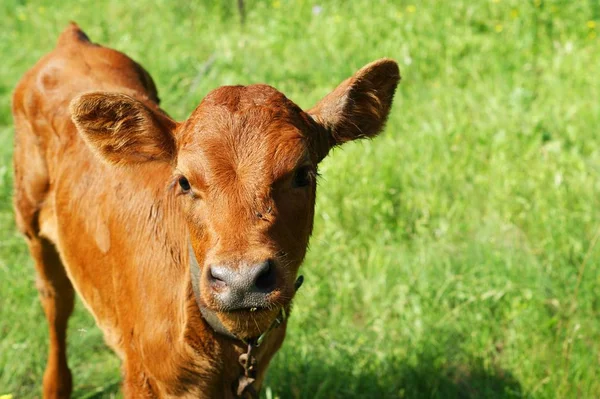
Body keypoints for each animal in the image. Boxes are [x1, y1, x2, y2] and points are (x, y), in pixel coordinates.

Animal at [10, 23, 398, 398]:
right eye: (183, 181)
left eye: (303, 174)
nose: (242, 281)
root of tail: (71, 40)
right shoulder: (141, 377)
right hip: (30, 224)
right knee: (55, 302)